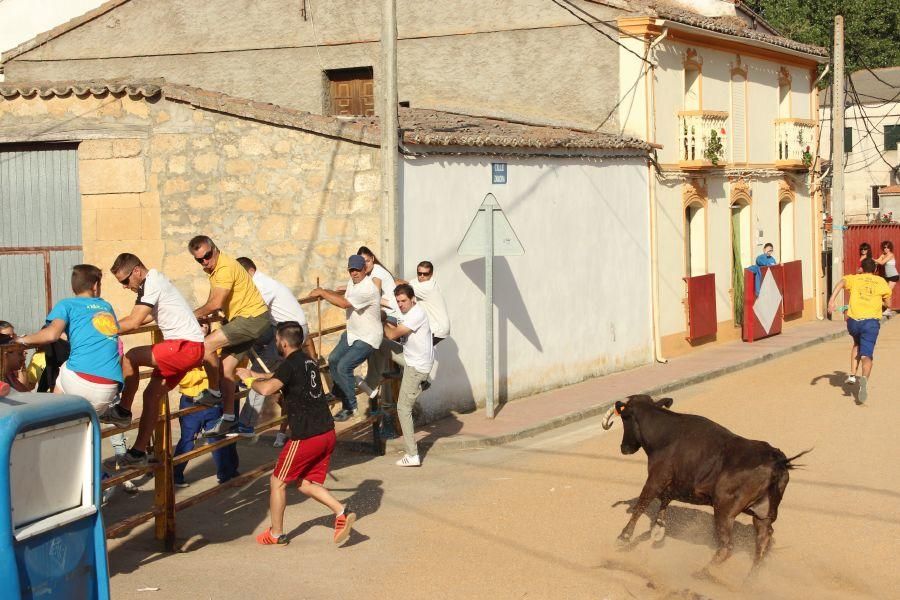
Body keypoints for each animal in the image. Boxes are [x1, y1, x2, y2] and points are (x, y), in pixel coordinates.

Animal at [604, 394, 808, 572]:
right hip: (763, 515)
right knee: (761, 544)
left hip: (724, 511)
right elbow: (664, 501)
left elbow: (641, 505)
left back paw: (702, 574)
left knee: (727, 547)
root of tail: (777, 460)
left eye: (624, 418)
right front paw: (658, 530)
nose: (624, 448)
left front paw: (623, 537)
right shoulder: (674, 484)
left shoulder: (656, 478)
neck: (664, 433)